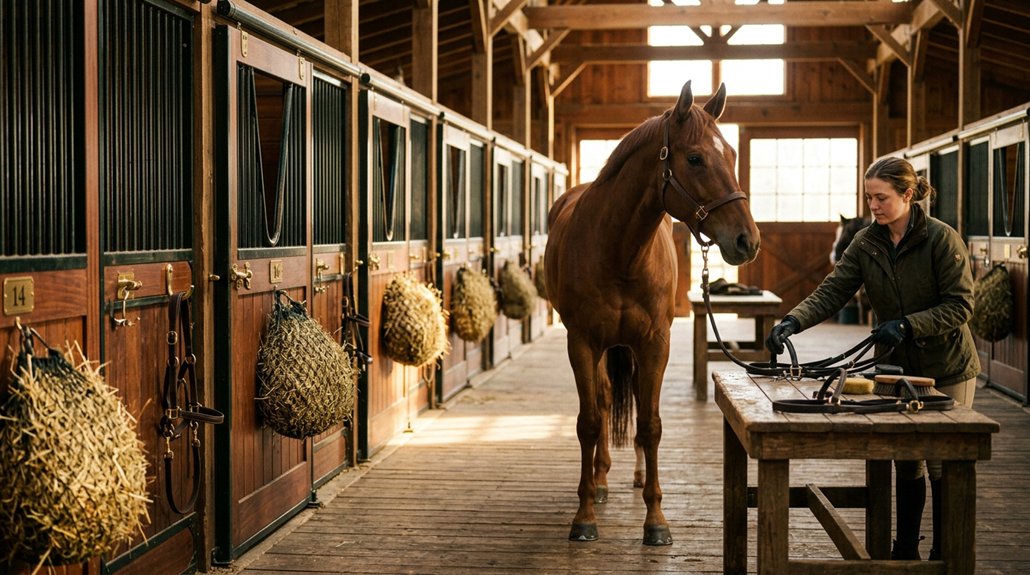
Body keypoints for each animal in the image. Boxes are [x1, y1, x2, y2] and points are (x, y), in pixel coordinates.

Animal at [544, 81, 760, 546]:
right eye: (695, 158)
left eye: (733, 154)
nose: (747, 241)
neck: (618, 251)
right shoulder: (582, 343)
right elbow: (590, 421)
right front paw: (585, 515)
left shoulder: (655, 344)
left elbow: (650, 424)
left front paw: (656, 520)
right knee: (606, 400)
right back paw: (601, 481)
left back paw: (640, 476)